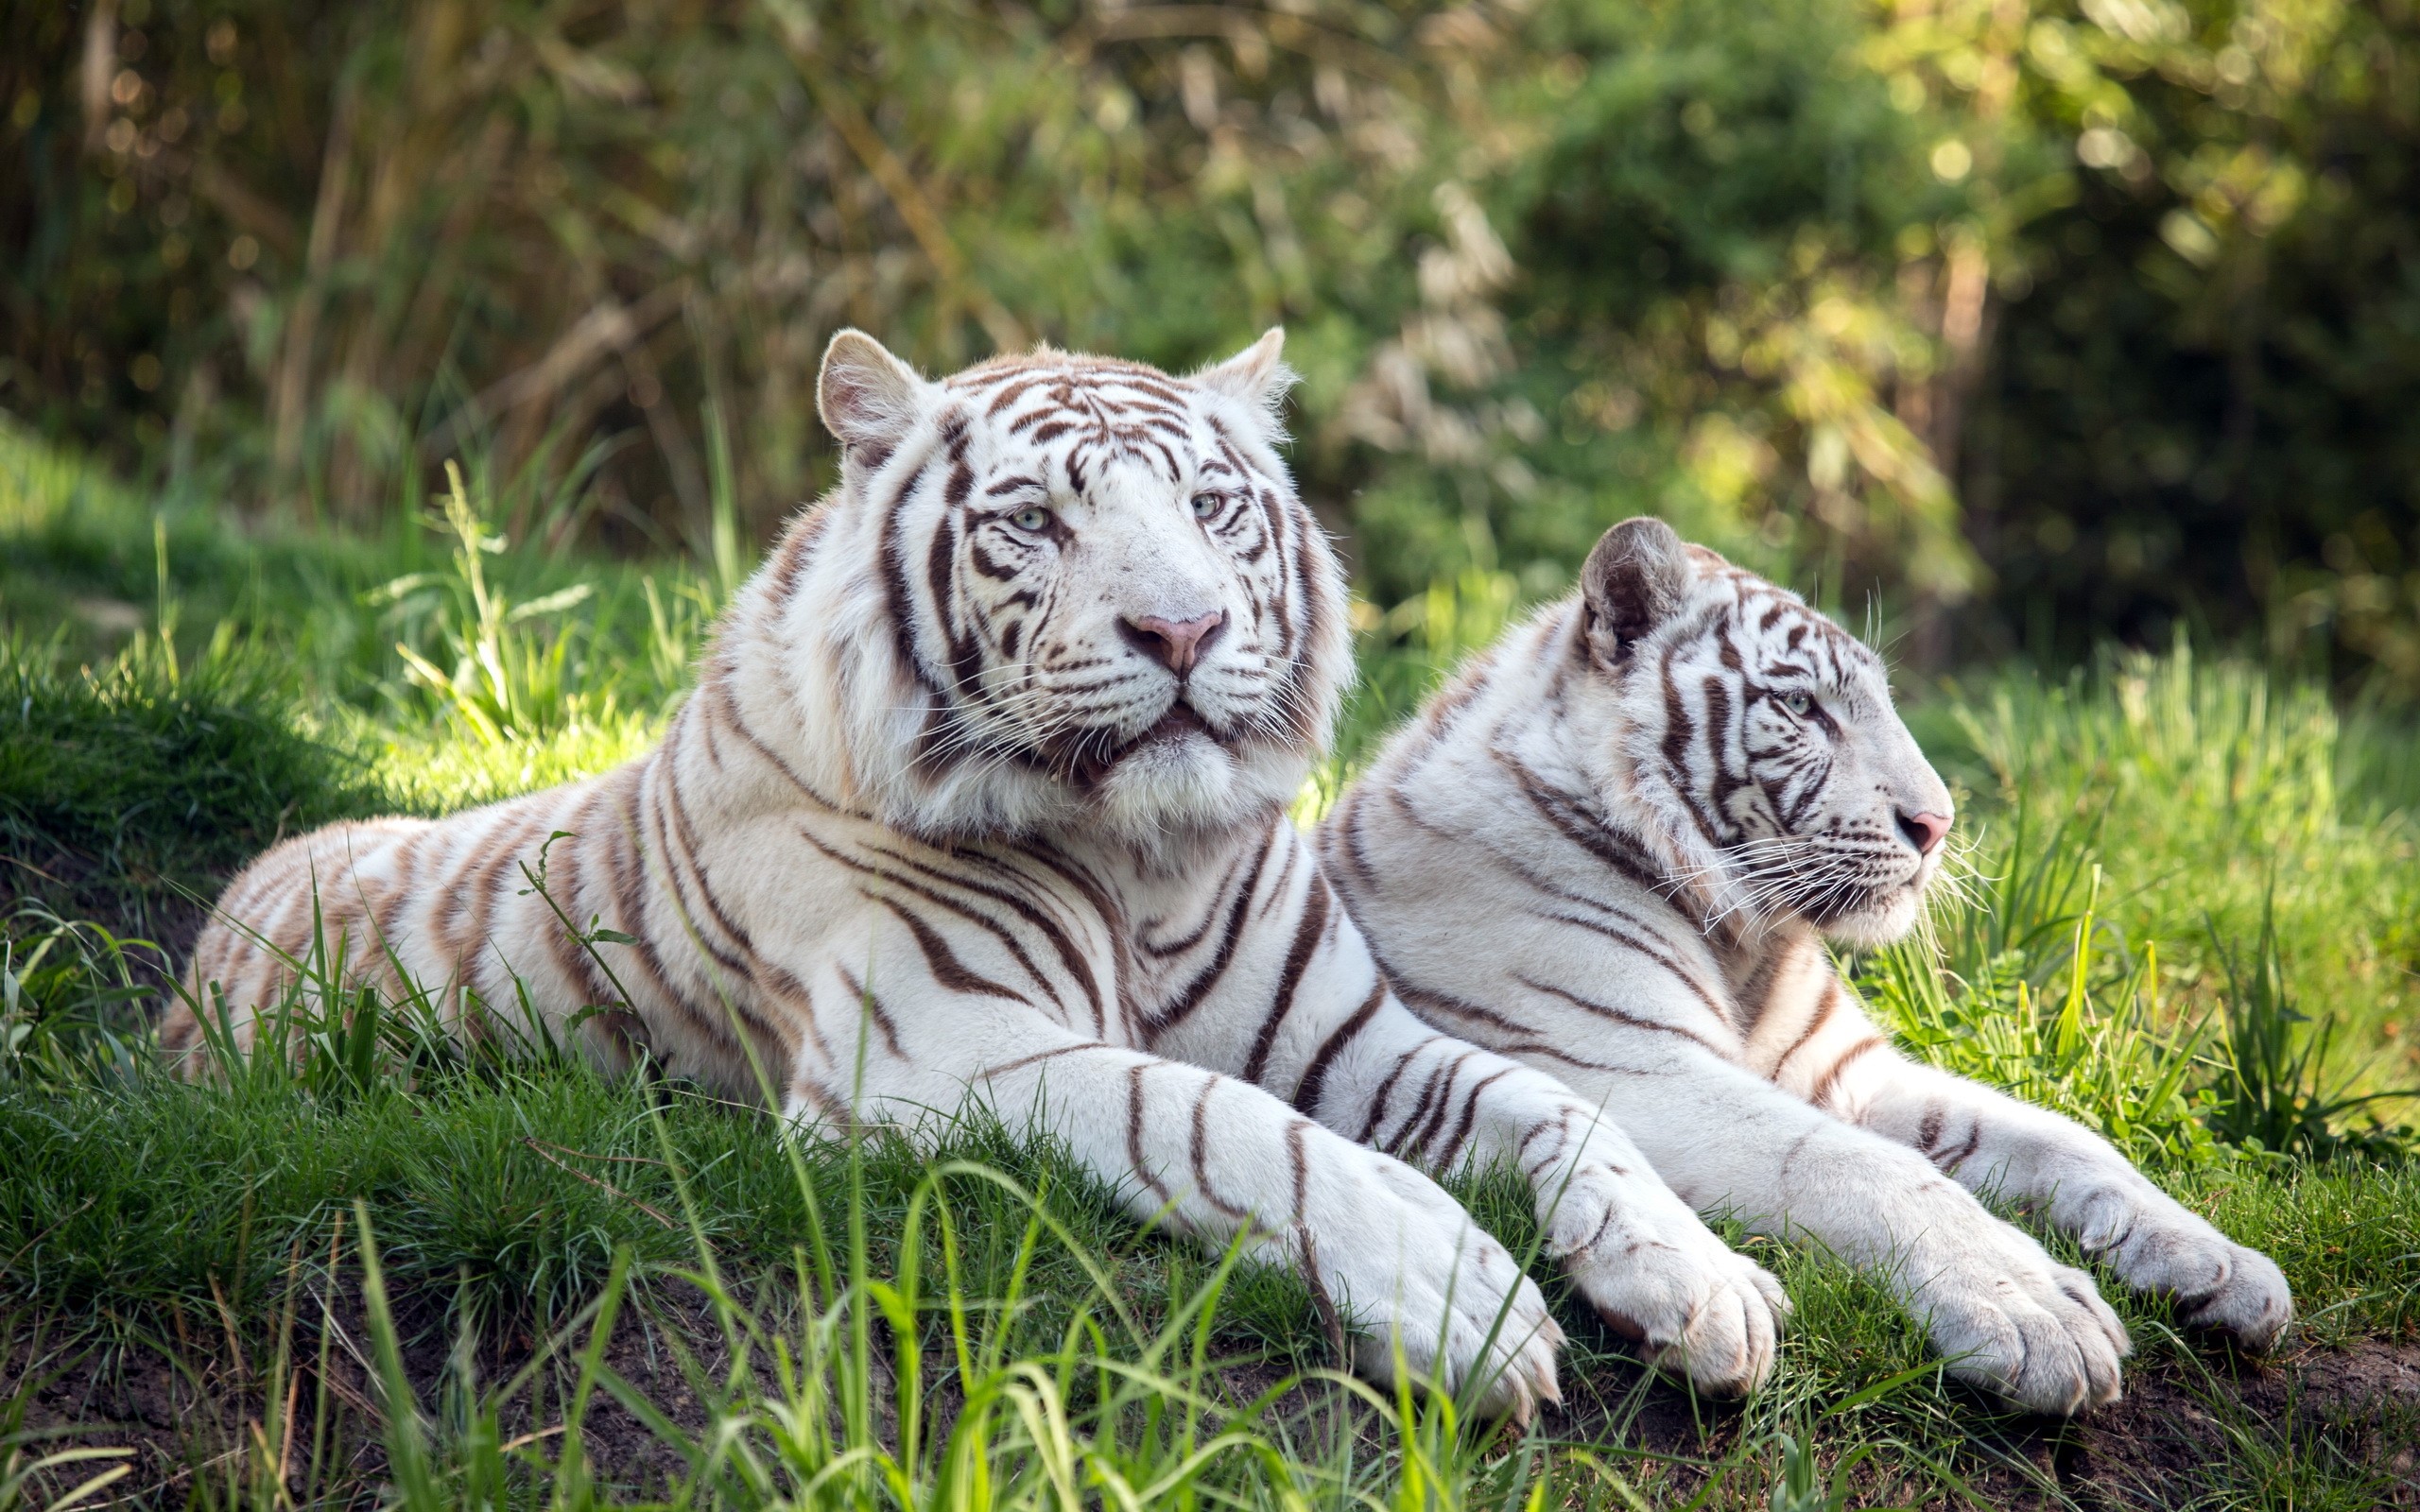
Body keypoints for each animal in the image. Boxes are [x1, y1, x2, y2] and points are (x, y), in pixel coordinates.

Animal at [167, 336, 1792, 1418]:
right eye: (1034, 522)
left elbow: (1560, 1106)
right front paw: (1468, 1304)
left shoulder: (1356, 1042)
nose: (1183, 631)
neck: (1145, 862)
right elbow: (1216, 1121)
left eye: (1212, 508)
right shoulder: (938, 1052)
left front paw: (1707, 1283)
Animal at [1318, 516, 2293, 1415]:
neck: (1745, 942)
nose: (1938, 824)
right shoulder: (1629, 1064)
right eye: (1803, 710)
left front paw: (2221, 1264)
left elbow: (2063, 1138)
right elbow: (1876, 1172)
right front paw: (2037, 1311)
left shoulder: (1847, 1073)